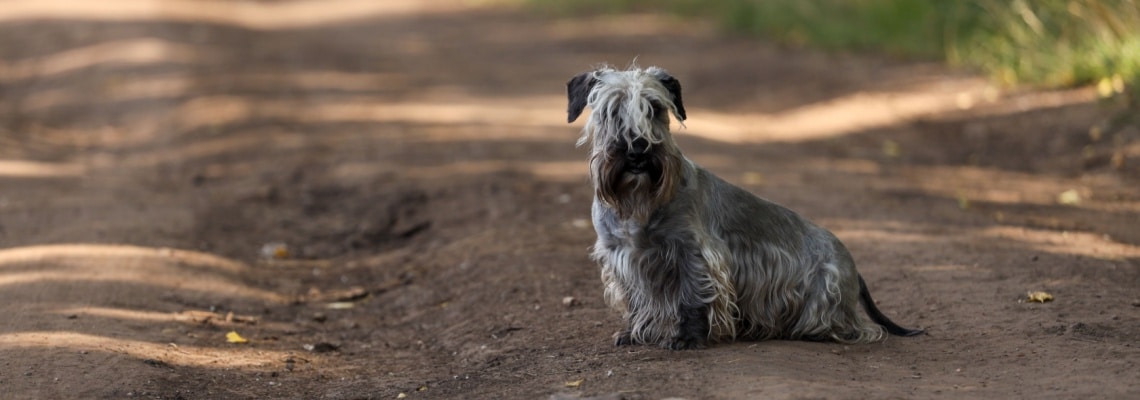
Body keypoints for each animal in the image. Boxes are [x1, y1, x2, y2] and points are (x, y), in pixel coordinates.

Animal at [565, 65, 921, 350]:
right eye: (611, 111)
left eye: (655, 108)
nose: (638, 150)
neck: (639, 205)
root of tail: (853, 267)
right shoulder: (623, 257)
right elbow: (637, 300)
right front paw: (634, 333)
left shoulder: (694, 253)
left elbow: (692, 296)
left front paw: (687, 337)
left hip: (826, 287)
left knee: (849, 326)